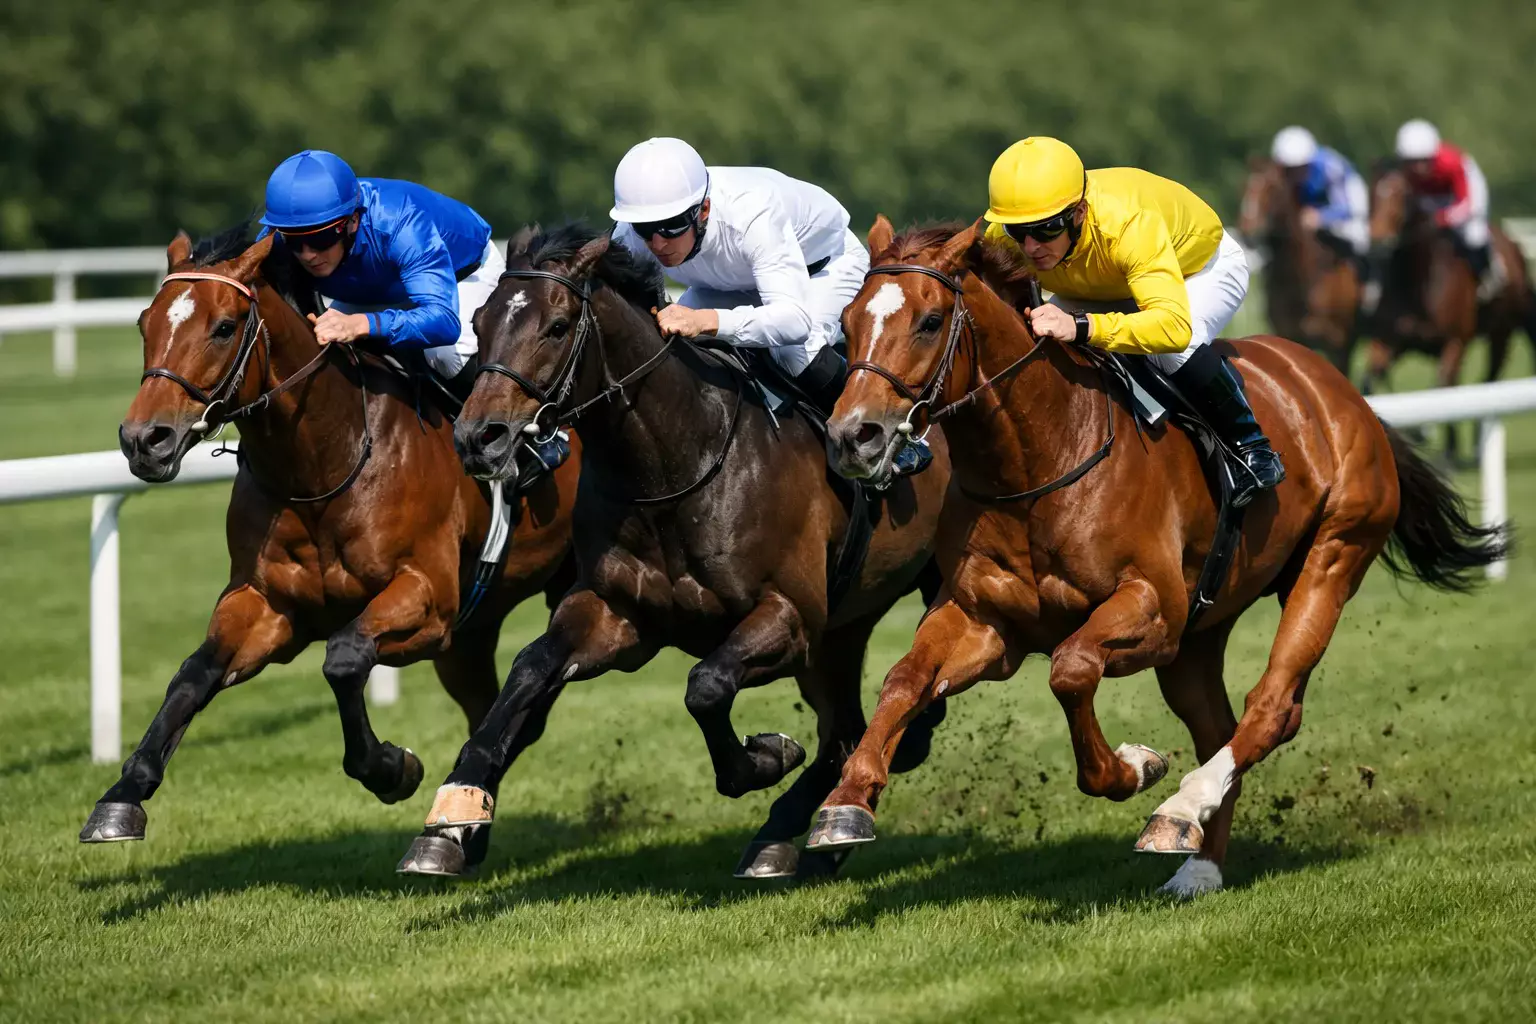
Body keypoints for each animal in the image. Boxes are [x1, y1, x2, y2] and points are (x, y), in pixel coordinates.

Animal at [80, 224, 579, 845]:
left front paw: (392, 768)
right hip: (473, 632)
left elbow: (343, 658)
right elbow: (193, 673)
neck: (324, 462)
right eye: (145, 323)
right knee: (495, 710)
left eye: (223, 327)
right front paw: (123, 793)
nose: (143, 440)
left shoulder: (429, 601)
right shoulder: (269, 603)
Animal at [394, 223, 953, 880]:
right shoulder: (618, 614)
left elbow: (705, 685)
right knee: (843, 729)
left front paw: (766, 754)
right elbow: (530, 668)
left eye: (556, 326)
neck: (678, 463)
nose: (478, 438)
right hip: (843, 629)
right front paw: (451, 814)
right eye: (478, 322)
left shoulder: (790, 615)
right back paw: (793, 833)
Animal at [806, 216, 1504, 896]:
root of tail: (1342, 390)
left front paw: (1137, 768)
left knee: (1272, 707)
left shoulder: (1154, 608)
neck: (1040, 456)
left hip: (1332, 556)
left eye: (929, 321)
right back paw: (1198, 863)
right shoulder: (988, 622)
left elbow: (1072, 668)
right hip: (1201, 632)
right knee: (1221, 725)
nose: (852, 437)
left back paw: (1180, 807)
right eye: (848, 320)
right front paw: (845, 802)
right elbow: (904, 679)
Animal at [1364, 165, 1534, 461]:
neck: (1418, 282)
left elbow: (1444, 384)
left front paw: (1435, 439)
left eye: (1400, 195)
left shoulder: (1455, 341)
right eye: (1371, 193)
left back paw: (1476, 445)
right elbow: (1370, 378)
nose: (1377, 242)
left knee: (1488, 380)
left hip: (1501, 333)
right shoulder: (1390, 341)